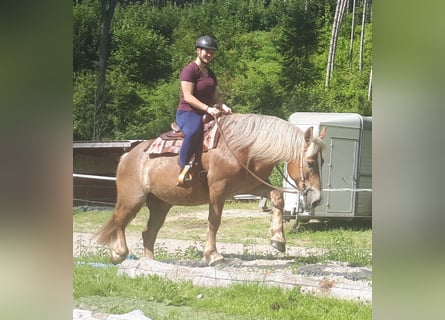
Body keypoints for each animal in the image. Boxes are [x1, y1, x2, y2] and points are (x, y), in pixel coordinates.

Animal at [93, 114, 324, 266]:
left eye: (321, 161)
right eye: (310, 162)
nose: (317, 199)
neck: (242, 148)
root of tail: (128, 156)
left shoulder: (253, 185)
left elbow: (277, 197)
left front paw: (278, 240)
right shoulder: (217, 191)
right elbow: (214, 221)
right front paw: (213, 255)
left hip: (160, 205)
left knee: (148, 232)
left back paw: (150, 263)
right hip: (132, 199)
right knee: (119, 221)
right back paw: (118, 254)